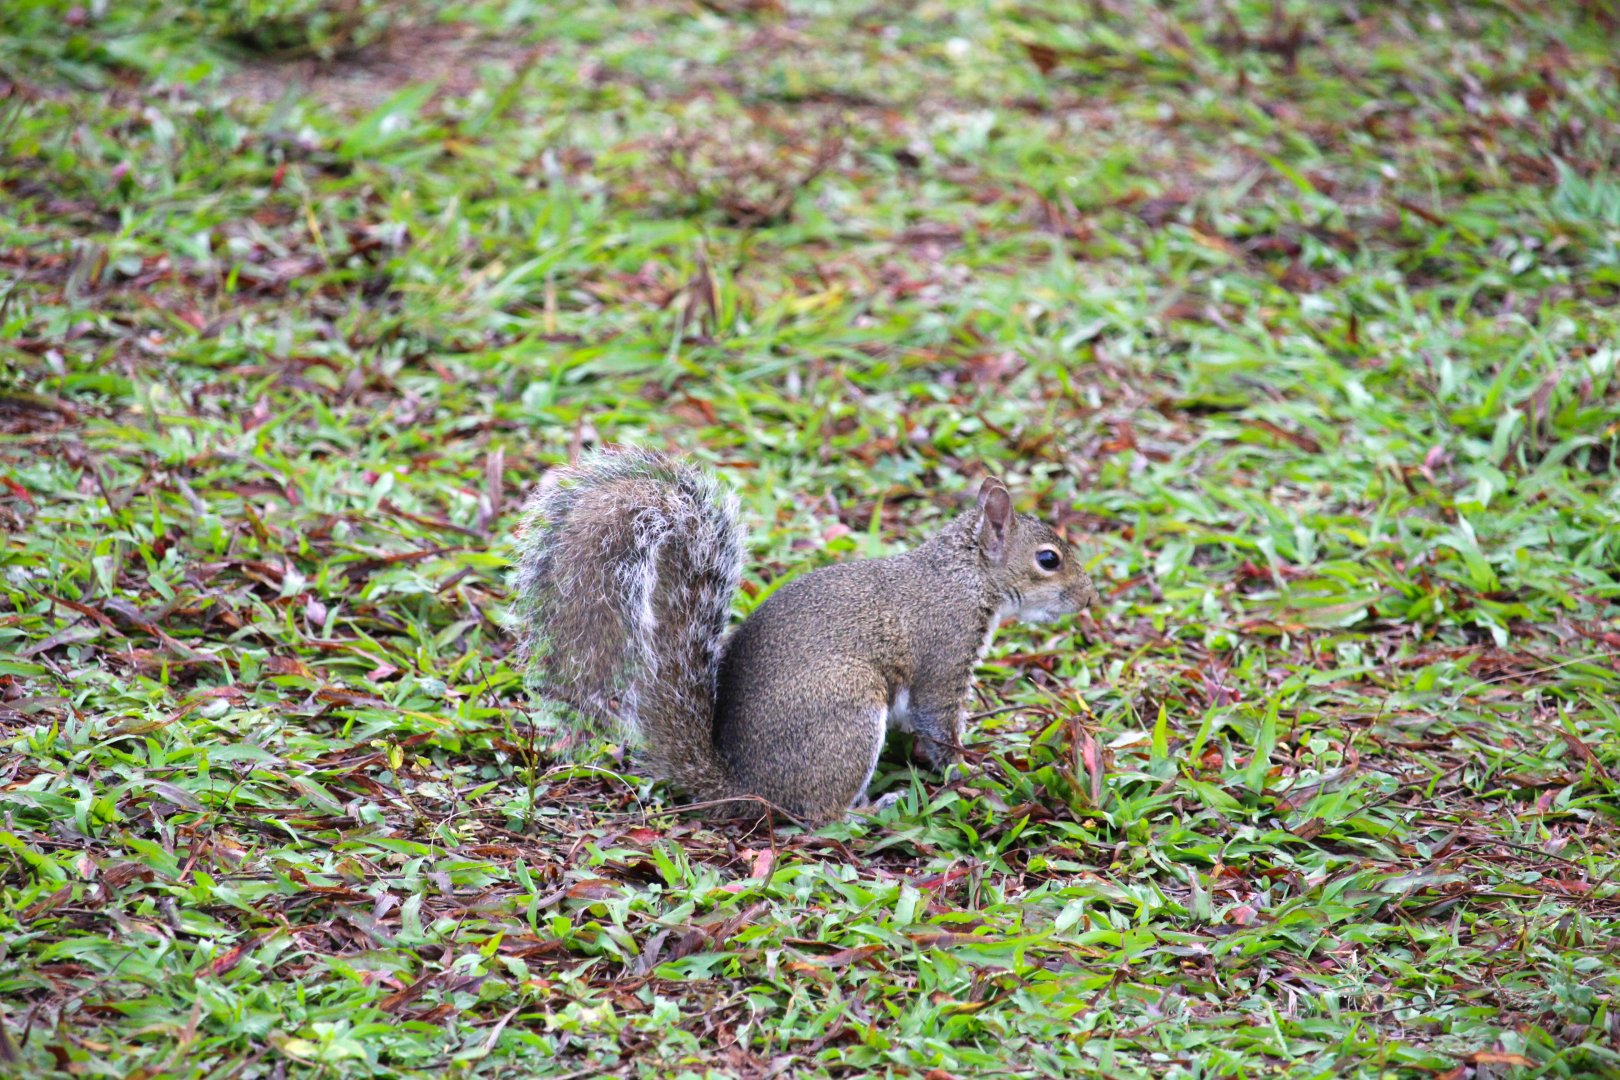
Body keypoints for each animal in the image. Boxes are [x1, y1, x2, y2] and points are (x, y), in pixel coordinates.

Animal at [511, 447, 1099, 826]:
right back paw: (869, 812)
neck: (965, 575)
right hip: (847, 710)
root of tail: (750, 787)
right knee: (819, 814)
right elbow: (938, 723)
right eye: (1049, 560)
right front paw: (969, 771)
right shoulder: (945, 654)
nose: (1088, 599)